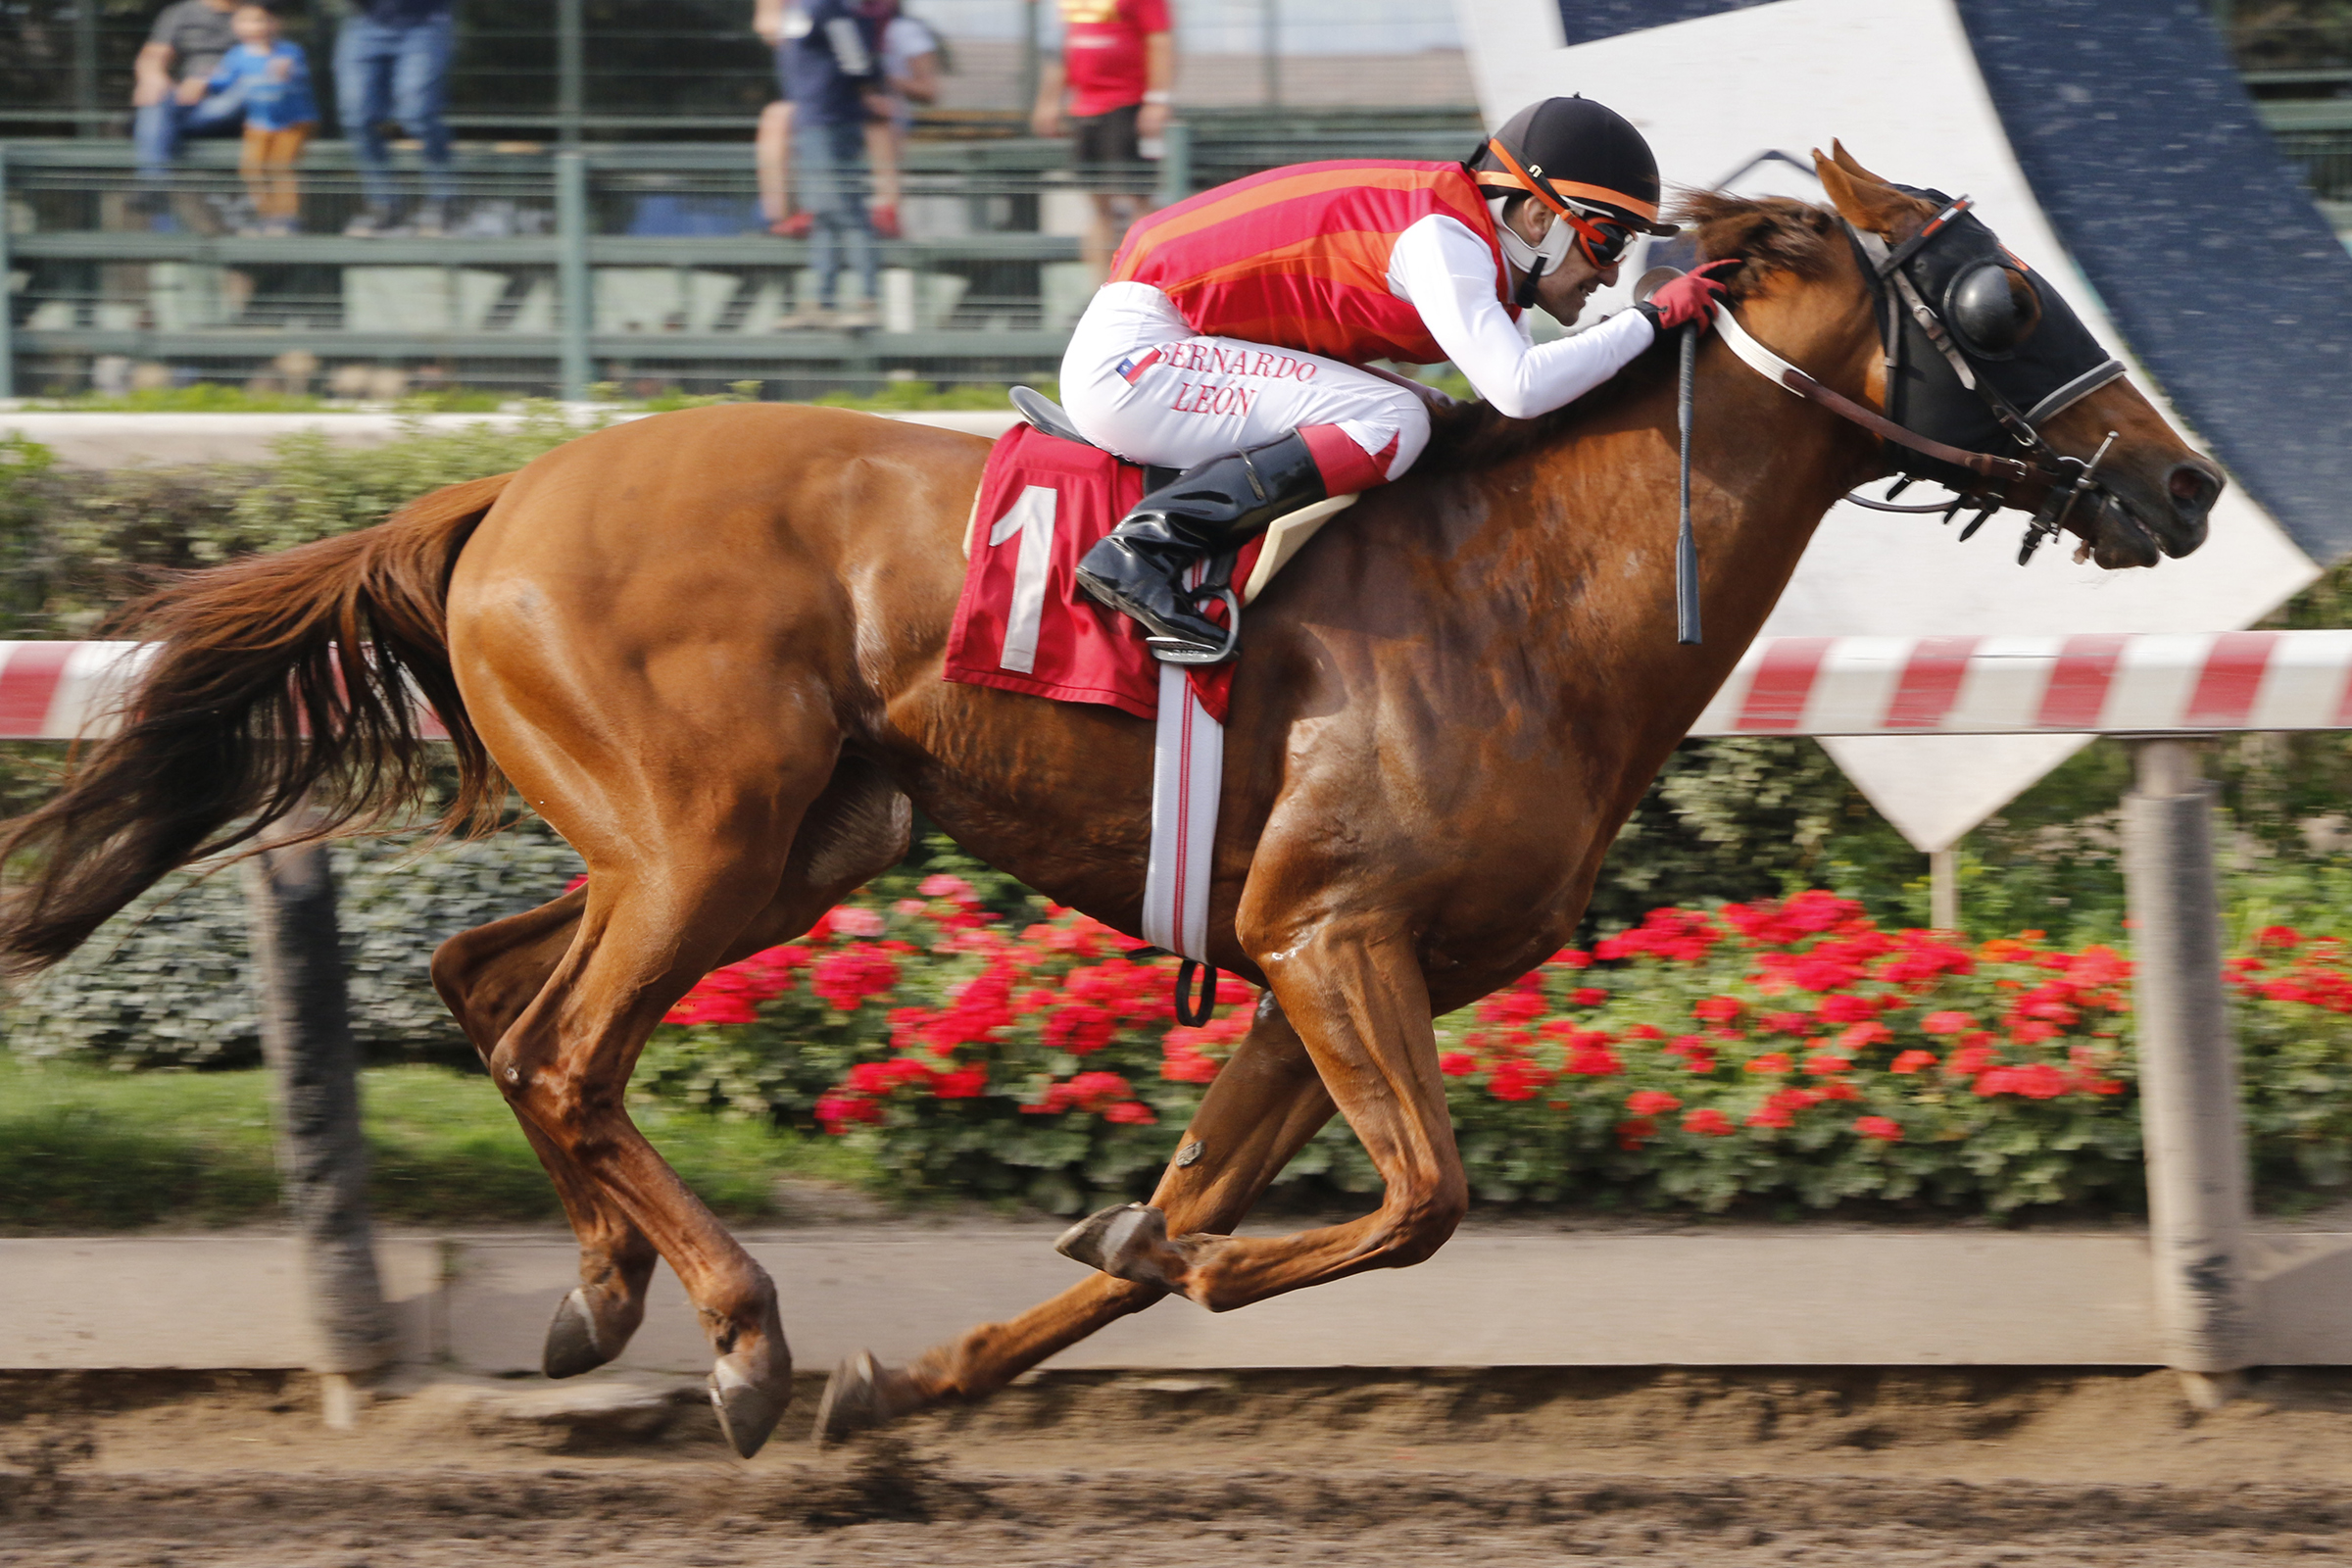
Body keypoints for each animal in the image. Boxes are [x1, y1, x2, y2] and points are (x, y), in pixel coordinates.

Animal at [0, 147, 2220, 1458]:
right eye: (2006, 300)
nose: (2188, 481)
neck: (1532, 593)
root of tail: (505, 486)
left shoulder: (1325, 968)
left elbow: (1212, 1201)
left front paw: (923, 1371)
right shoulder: (1333, 934)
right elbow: (1394, 1205)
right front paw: (1120, 1265)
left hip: (786, 842)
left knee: (492, 986)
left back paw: (604, 1299)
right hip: (706, 834)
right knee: (562, 1043)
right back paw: (733, 1331)